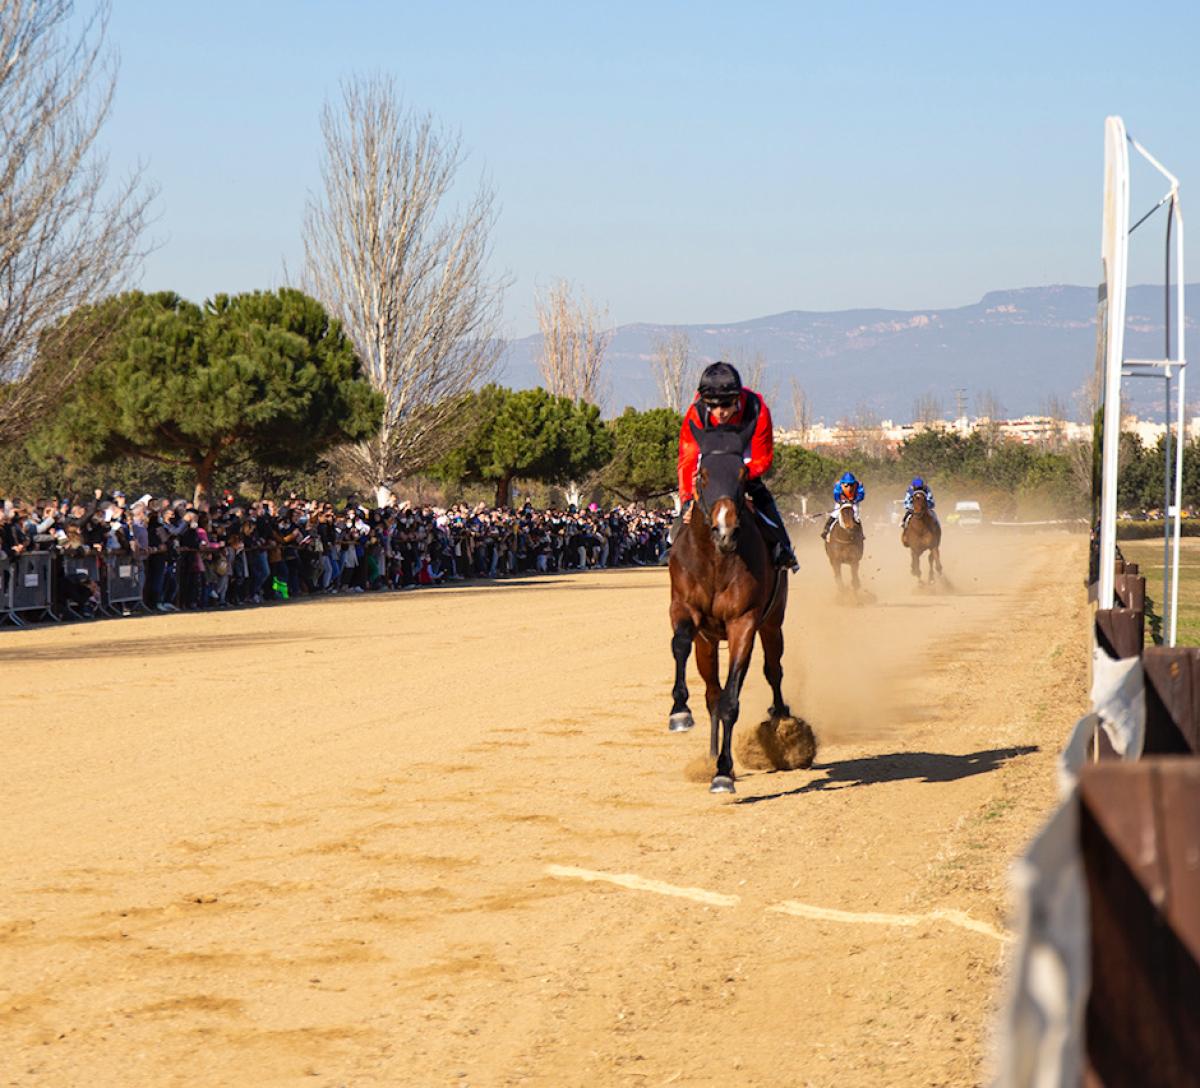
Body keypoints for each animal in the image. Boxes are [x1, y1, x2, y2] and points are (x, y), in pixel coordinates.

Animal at [667, 422, 787, 796]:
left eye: (742, 473)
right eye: (702, 474)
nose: (725, 529)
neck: (716, 560)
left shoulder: (743, 622)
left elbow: (731, 701)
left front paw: (723, 771)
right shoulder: (684, 608)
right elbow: (680, 644)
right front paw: (679, 711)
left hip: (773, 621)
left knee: (773, 670)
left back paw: (781, 718)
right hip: (707, 642)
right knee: (711, 693)